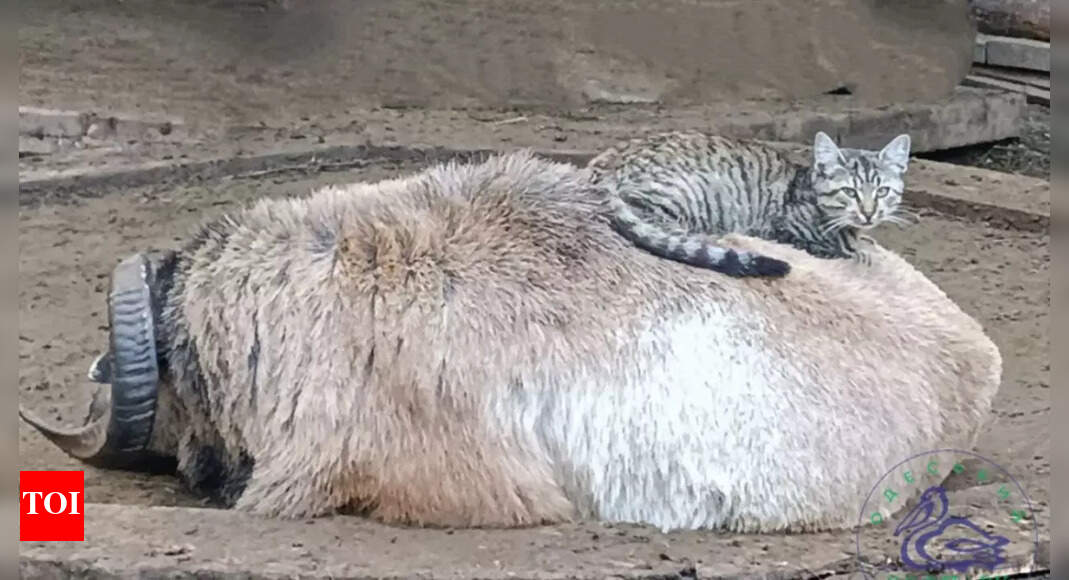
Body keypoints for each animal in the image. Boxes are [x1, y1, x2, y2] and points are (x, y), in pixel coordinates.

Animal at [590, 129, 915, 279]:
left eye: (883, 191)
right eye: (850, 191)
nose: (869, 213)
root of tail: (604, 164)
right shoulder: (785, 232)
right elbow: (837, 249)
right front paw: (857, 251)